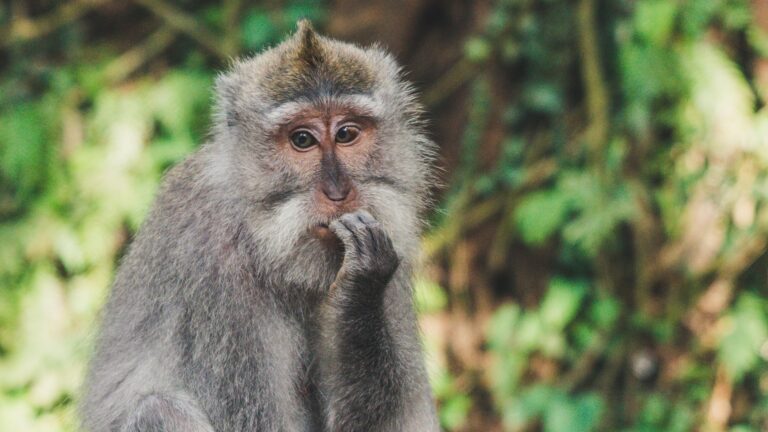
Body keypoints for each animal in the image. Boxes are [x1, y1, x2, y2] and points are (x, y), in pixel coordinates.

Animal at [79, 20, 438, 432]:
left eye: (347, 134)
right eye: (302, 139)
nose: (338, 191)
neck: (262, 240)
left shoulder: (390, 238)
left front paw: (361, 289)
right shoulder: (215, 272)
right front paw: (362, 281)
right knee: (158, 410)